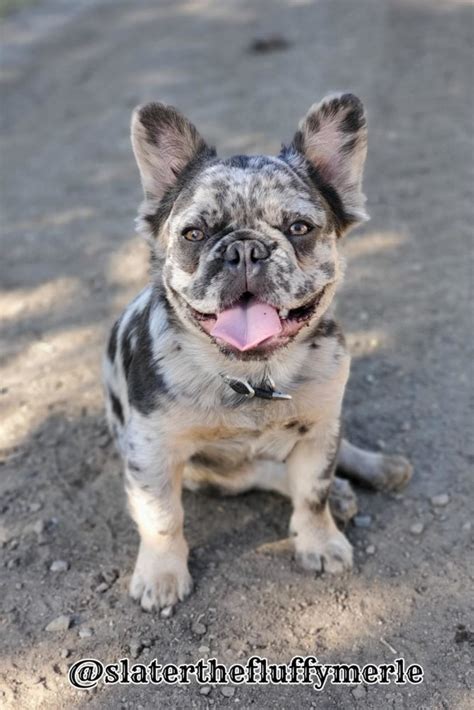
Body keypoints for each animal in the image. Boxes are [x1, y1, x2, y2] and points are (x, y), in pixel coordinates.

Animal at [103, 93, 412, 612]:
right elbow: (162, 517)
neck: (253, 377)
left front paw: (320, 541)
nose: (245, 249)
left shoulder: (318, 430)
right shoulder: (151, 453)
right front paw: (162, 575)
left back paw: (377, 469)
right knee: (263, 472)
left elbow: (312, 493)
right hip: (212, 473)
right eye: (193, 235)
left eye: (300, 228)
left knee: (333, 453)